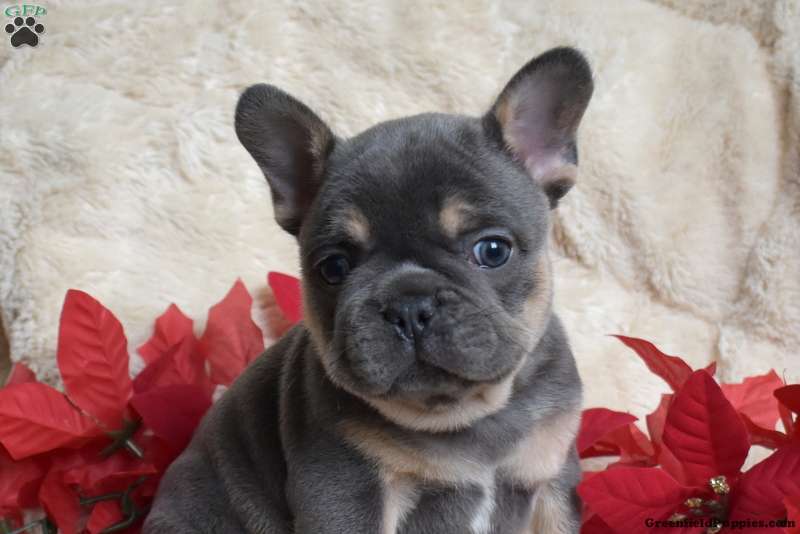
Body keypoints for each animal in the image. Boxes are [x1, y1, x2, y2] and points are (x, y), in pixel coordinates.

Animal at [144, 46, 593, 534]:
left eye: (493, 250)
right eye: (333, 268)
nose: (409, 306)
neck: (462, 416)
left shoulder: (552, 480)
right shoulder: (344, 488)